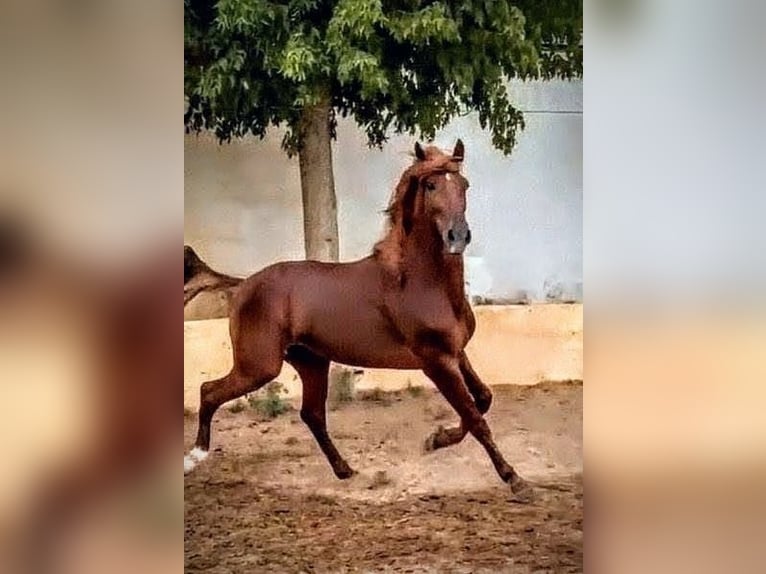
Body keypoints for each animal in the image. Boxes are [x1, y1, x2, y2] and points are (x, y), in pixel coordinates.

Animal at [184, 139, 531, 498]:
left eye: (464, 184)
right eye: (431, 185)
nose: (457, 236)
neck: (419, 283)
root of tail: (243, 284)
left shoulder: (456, 353)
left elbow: (483, 399)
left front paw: (435, 439)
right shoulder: (436, 361)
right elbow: (476, 417)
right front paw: (514, 478)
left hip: (310, 362)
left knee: (312, 414)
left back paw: (345, 470)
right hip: (259, 366)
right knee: (209, 391)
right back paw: (193, 458)